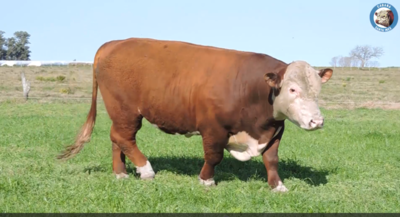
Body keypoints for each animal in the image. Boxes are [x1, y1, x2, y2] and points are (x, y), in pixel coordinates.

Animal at [57, 37, 332, 192]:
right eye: (293, 89)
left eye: (317, 90)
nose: (317, 121)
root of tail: (112, 44)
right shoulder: (213, 128)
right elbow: (213, 156)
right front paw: (206, 181)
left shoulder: (275, 130)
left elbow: (271, 160)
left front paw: (278, 186)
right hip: (125, 111)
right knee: (124, 138)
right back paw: (145, 170)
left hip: (120, 114)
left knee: (117, 139)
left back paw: (121, 173)